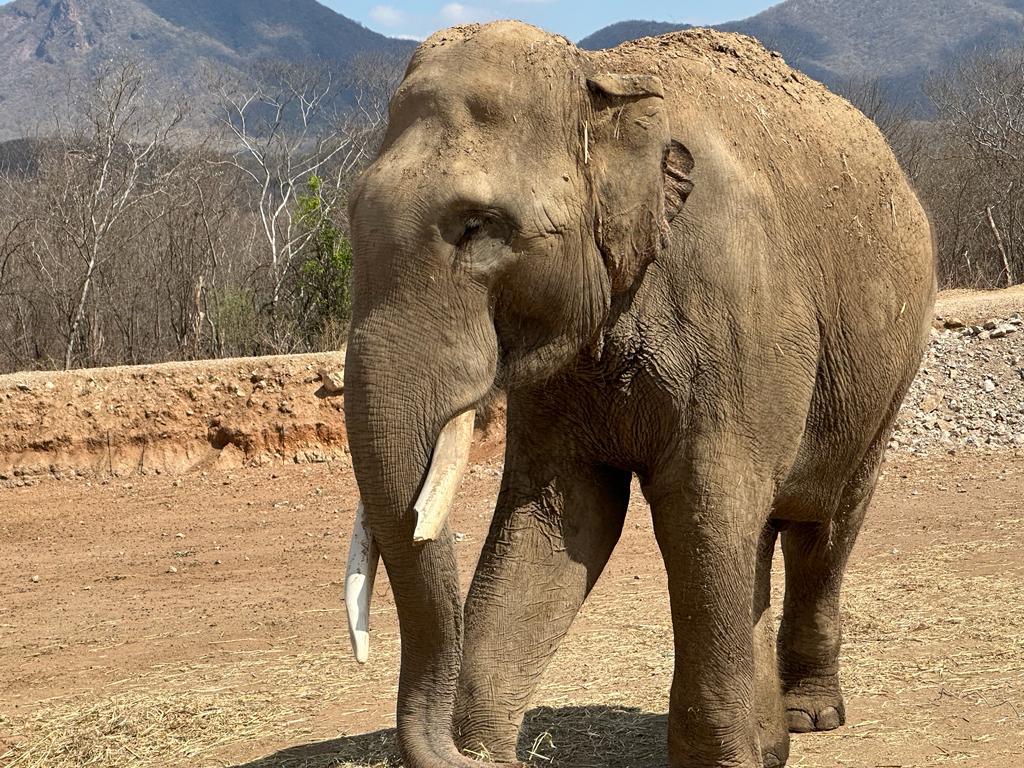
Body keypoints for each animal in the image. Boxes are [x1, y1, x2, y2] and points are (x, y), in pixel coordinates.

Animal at [342, 20, 937, 768]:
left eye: (478, 227)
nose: (464, 753)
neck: (602, 80)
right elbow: (562, 516)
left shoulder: (734, 311)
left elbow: (701, 507)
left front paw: (723, 760)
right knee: (760, 529)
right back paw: (773, 740)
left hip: (887, 367)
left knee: (822, 523)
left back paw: (810, 716)